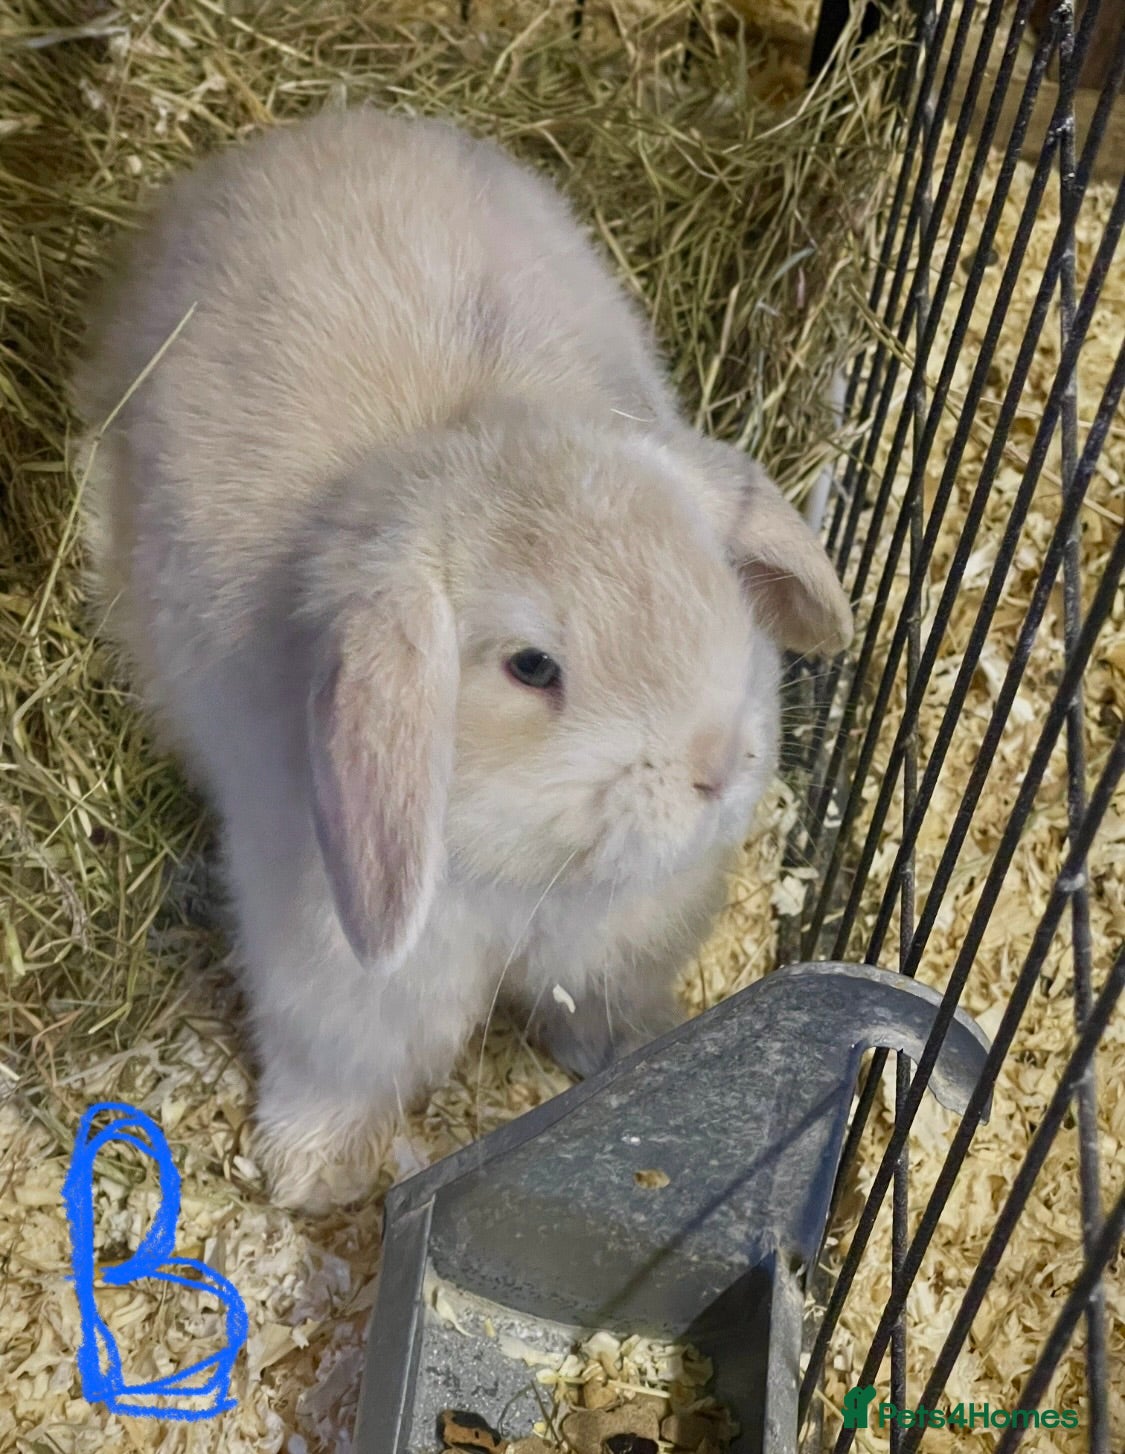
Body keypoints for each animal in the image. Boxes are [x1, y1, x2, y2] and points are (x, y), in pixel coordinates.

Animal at [74, 107, 852, 1214]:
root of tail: (304, 132)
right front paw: (313, 1173)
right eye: (531, 667)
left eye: (713, 578)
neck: (532, 877)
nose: (714, 765)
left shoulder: (615, 952)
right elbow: (337, 1066)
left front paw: (641, 1053)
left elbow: (609, 1015)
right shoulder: (343, 977)